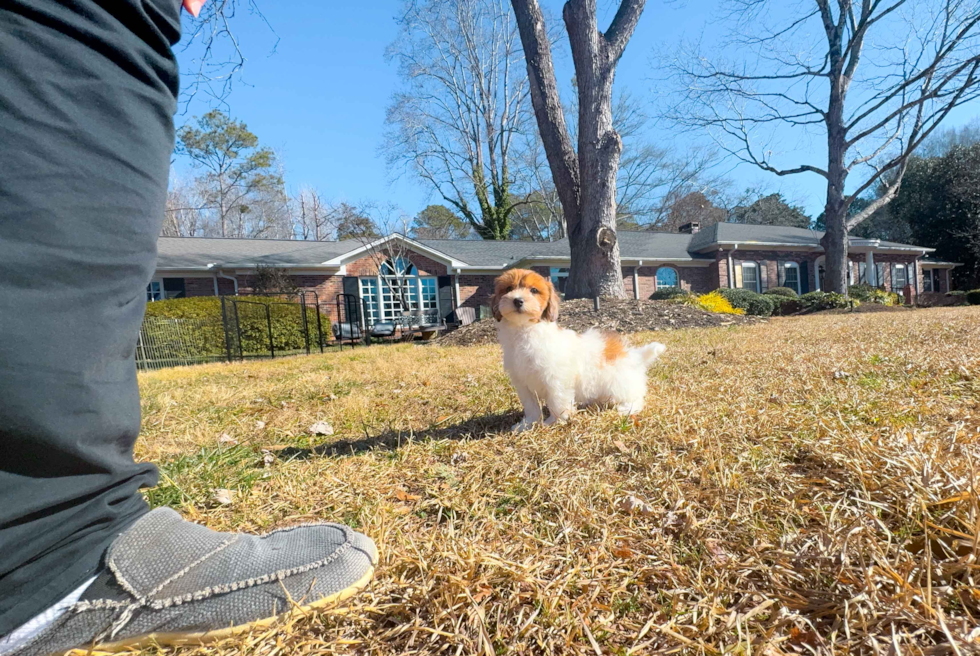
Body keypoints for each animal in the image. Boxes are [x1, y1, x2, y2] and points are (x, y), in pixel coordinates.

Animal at [490, 266, 668, 430]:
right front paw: (527, 424)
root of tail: (633, 355)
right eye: (508, 289)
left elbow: (557, 401)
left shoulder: (555, 379)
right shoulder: (522, 382)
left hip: (620, 383)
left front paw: (554, 422)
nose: (517, 300)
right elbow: (531, 405)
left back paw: (626, 408)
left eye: (533, 290)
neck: (524, 330)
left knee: (635, 397)